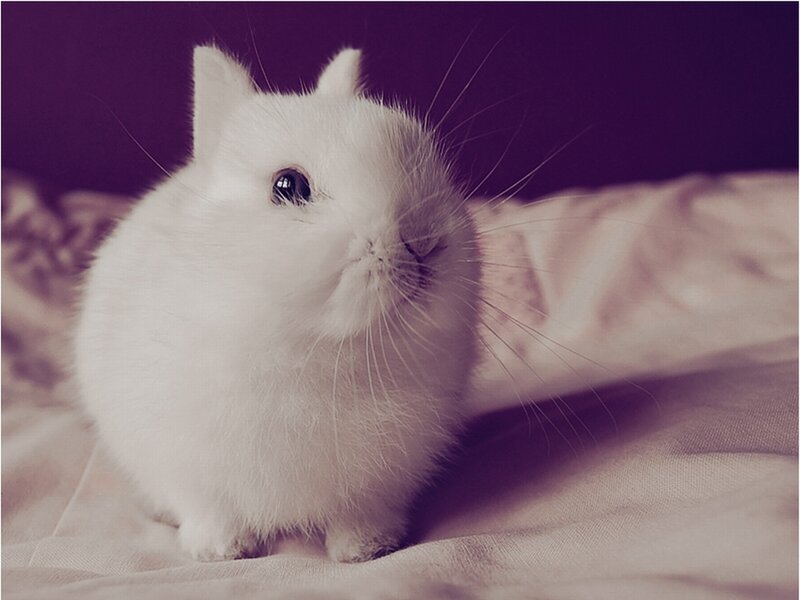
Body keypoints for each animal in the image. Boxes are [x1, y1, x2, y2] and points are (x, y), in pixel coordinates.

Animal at [73, 45, 481, 563]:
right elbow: (211, 508)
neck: (322, 351)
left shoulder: (378, 483)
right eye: (288, 186)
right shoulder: (189, 465)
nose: (425, 242)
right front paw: (222, 551)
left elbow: (360, 514)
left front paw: (367, 550)